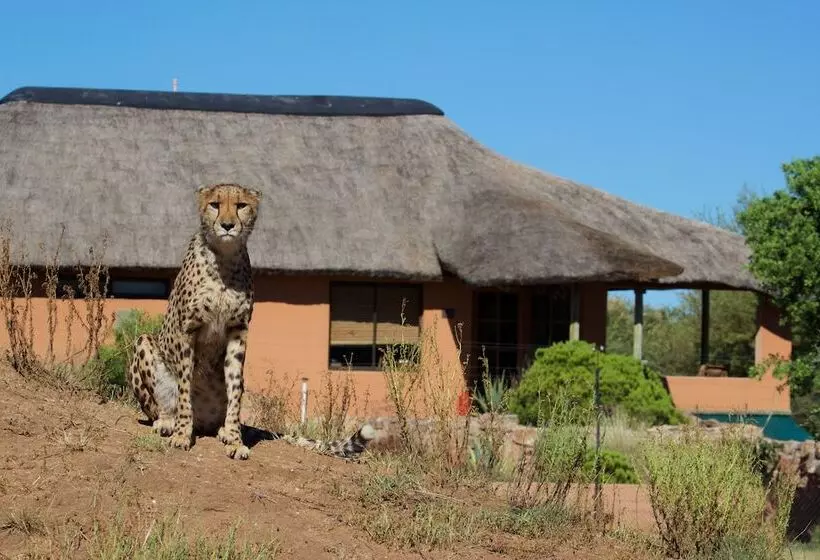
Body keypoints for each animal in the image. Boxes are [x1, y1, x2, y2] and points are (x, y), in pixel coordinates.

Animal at [128, 183, 375, 460]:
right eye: (215, 204)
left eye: (241, 206)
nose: (227, 225)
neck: (224, 260)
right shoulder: (189, 327)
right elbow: (183, 390)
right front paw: (182, 434)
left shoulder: (238, 331)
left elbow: (234, 390)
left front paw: (235, 440)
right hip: (144, 343)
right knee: (157, 405)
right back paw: (167, 422)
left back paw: (224, 430)